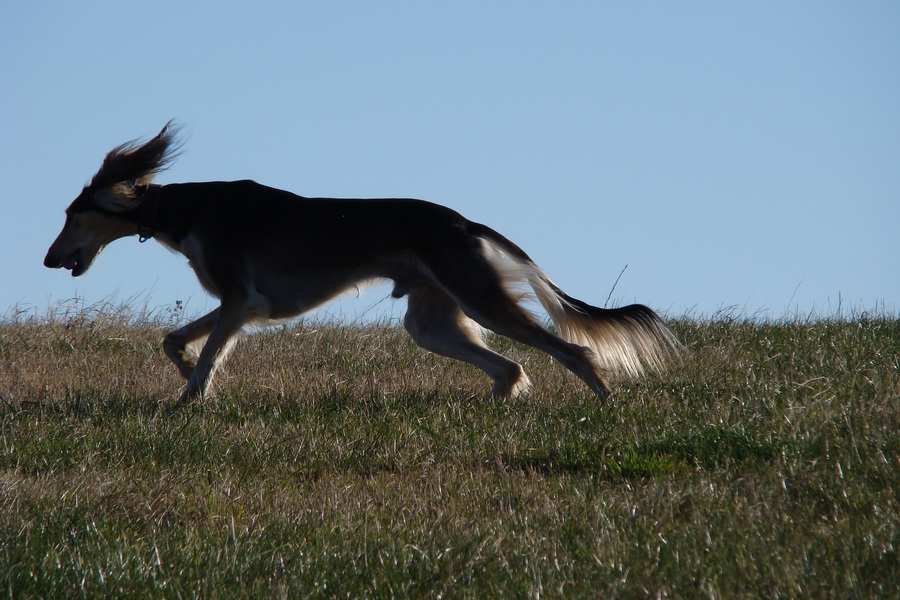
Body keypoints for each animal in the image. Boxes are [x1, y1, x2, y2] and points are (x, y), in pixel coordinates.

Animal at [42, 122, 680, 404]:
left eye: (71, 215)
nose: (48, 260)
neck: (188, 208)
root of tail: (461, 221)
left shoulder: (241, 300)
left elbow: (203, 361)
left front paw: (185, 405)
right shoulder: (239, 304)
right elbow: (175, 341)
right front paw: (185, 378)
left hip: (476, 296)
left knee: (571, 351)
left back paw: (605, 405)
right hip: (432, 321)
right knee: (510, 368)